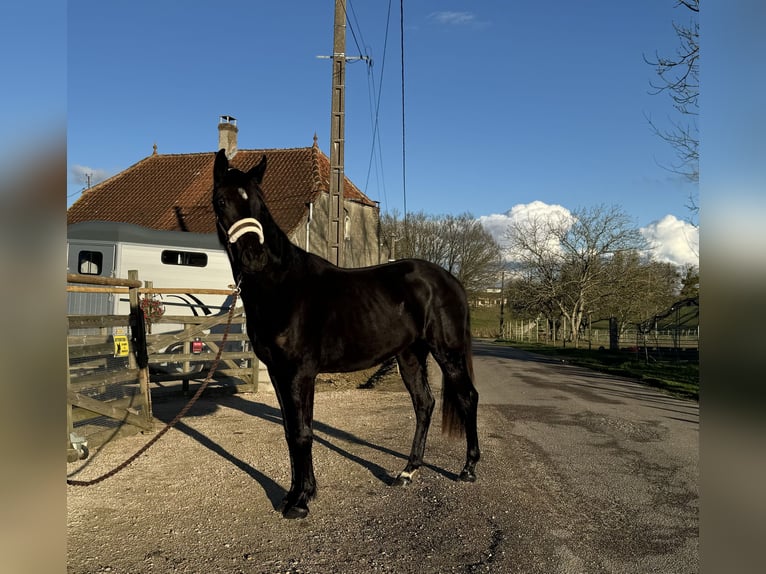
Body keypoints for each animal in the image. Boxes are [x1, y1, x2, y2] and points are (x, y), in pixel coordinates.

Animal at [212, 151, 480, 520]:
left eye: (258, 203)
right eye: (222, 201)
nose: (255, 257)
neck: (282, 287)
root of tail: (450, 280)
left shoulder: (299, 373)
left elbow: (302, 433)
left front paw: (299, 502)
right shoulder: (280, 373)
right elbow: (292, 430)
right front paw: (298, 494)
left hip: (447, 352)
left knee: (467, 398)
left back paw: (468, 469)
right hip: (410, 355)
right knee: (424, 404)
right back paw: (407, 472)